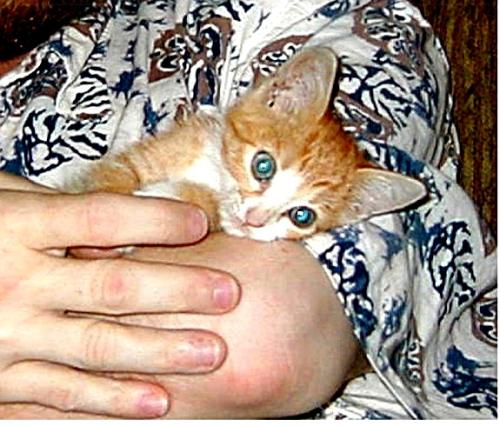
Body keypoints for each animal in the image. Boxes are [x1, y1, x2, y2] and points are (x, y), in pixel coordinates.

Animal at [67, 46, 426, 242]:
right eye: (262, 165)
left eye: (302, 216)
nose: (255, 219)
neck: (212, 172)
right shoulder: (176, 145)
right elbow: (114, 176)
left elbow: (207, 211)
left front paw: (173, 196)